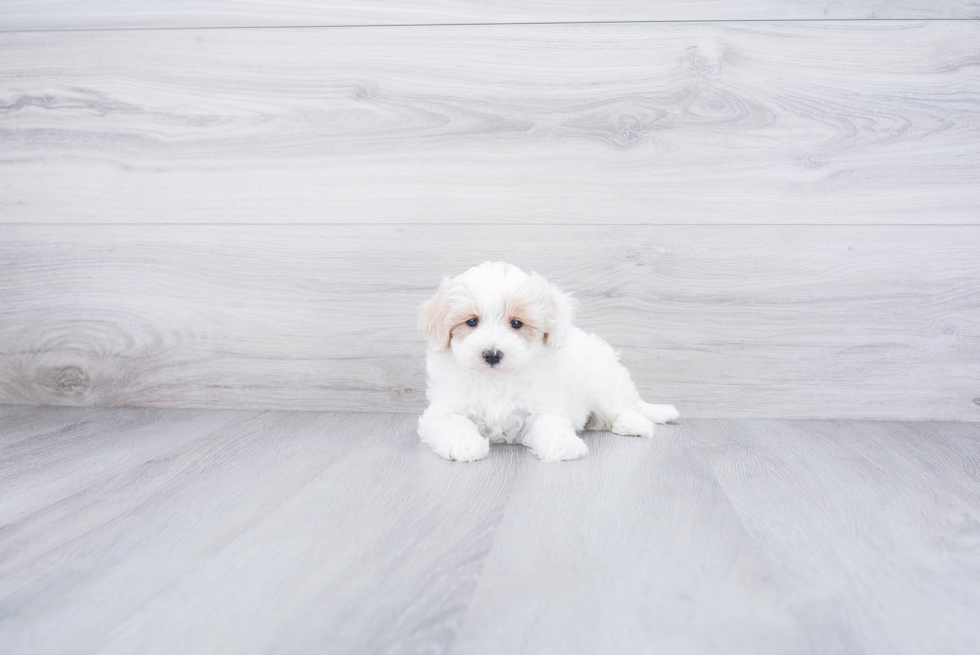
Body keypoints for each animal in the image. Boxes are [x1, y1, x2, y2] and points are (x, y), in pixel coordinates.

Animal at [418, 262, 676, 462]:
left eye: (516, 323)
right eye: (472, 321)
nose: (492, 353)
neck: (497, 380)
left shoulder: (544, 404)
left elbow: (550, 422)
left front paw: (562, 444)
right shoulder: (443, 408)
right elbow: (452, 421)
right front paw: (464, 444)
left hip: (601, 382)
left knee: (620, 408)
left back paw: (636, 425)